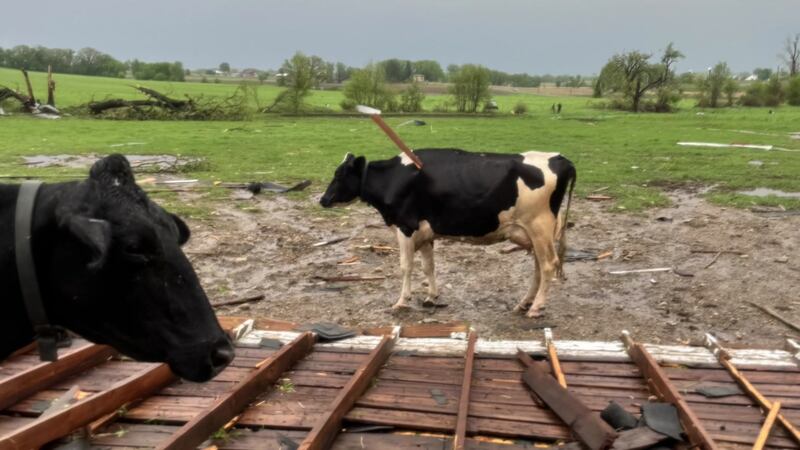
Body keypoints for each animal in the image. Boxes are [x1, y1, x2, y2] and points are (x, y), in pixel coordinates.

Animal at [320, 148, 576, 318]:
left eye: (339, 175)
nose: (323, 200)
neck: (394, 179)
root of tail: (560, 158)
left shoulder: (406, 227)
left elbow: (406, 267)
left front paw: (402, 301)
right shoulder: (425, 233)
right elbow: (428, 267)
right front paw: (431, 297)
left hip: (539, 227)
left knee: (548, 265)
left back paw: (536, 307)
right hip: (535, 234)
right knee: (539, 267)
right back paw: (525, 303)